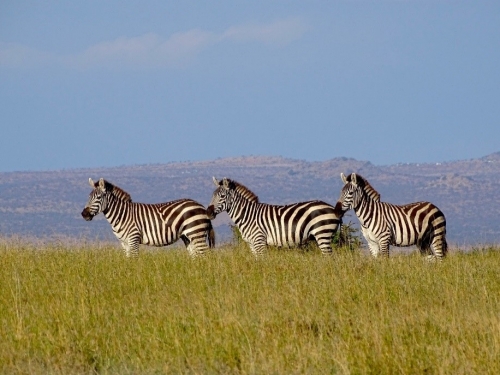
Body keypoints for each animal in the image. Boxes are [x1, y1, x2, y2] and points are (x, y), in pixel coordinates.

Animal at [81, 178, 214, 258]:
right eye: (88, 197)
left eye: (98, 197)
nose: (84, 214)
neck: (122, 214)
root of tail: (201, 206)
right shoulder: (124, 243)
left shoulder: (133, 239)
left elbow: (134, 260)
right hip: (187, 237)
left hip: (196, 233)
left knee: (205, 255)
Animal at [205, 178, 342, 258]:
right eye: (212, 195)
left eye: (222, 196)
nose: (208, 212)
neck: (247, 215)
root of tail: (333, 208)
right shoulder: (252, 244)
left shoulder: (259, 241)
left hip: (322, 233)